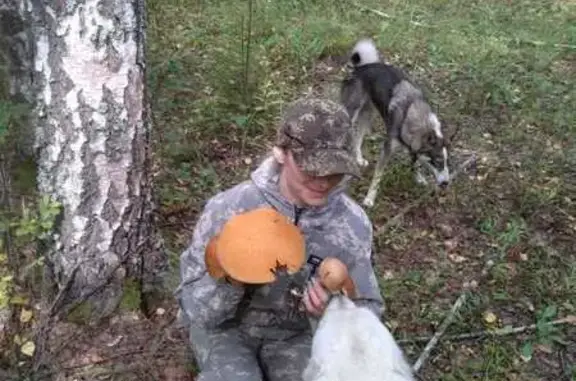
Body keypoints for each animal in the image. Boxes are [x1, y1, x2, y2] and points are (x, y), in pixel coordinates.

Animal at [340, 37, 456, 208]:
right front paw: (369, 199)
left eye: (448, 162)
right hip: (350, 113)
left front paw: (419, 177)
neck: (411, 114)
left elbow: (415, 162)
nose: (445, 184)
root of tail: (361, 68)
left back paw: (359, 159)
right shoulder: (387, 149)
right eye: (437, 161)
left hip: (367, 115)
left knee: (357, 136)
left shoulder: (413, 146)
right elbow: (378, 177)